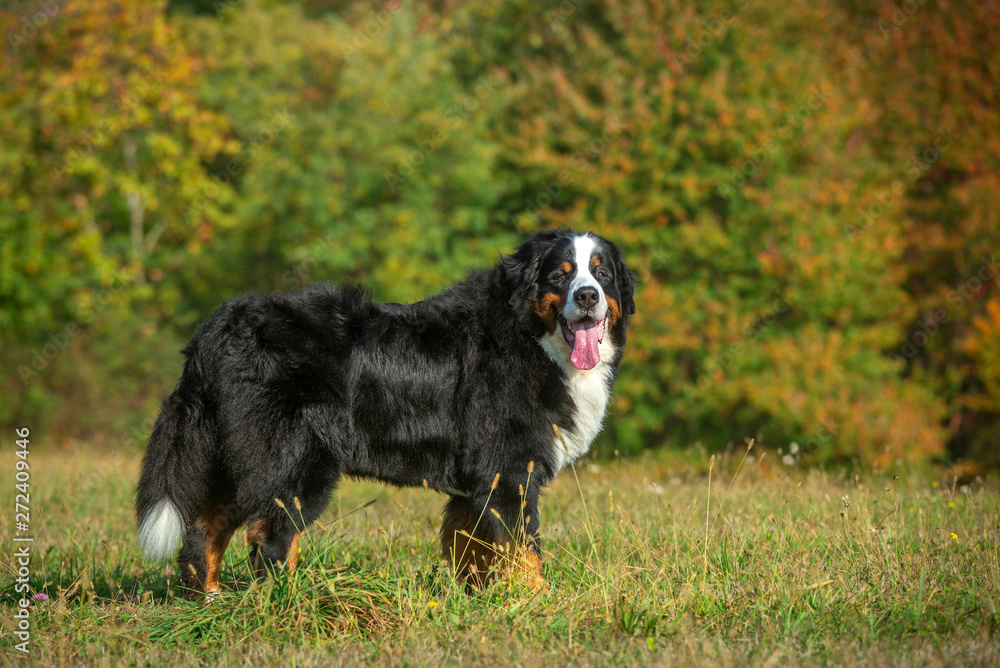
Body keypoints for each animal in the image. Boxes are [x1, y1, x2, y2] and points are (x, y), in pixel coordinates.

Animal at [135, 230, 632, 596]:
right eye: (559, 277)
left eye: (601, 274)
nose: (588, 297)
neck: (530, 338)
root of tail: (214, 330)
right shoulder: (508, 472)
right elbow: (523, 550)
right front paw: (536, 604)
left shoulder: (476, 484)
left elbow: (474, 552)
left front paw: (480, 605)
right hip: (296, 461)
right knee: (270, 538)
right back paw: (292, 603)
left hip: (234, 457)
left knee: (204, 528)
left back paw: (209, 604)